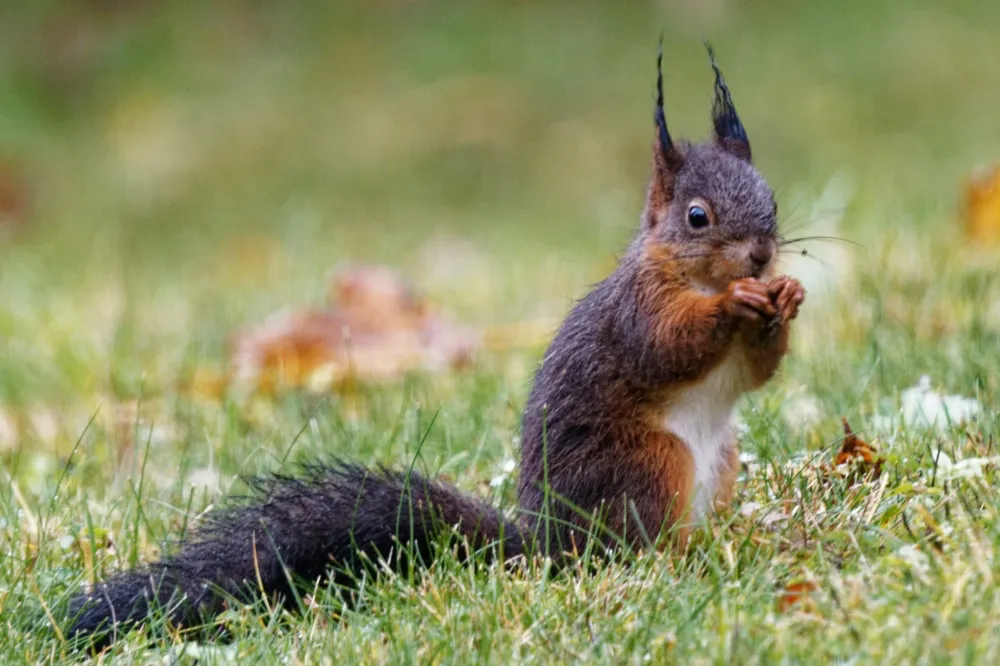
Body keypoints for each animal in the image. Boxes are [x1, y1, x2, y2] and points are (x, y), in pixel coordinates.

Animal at [63, 44, 805, 650]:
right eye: (697, 217)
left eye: (771, 199)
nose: (762, 254)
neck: (690, 274)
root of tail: (545, 547)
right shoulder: (638, 312)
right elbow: (669, 346)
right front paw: (736, 304)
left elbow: (754, 373)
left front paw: (787, 297)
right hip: (650, 464)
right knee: (626, 550)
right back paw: (673, 564)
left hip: (718, 461)